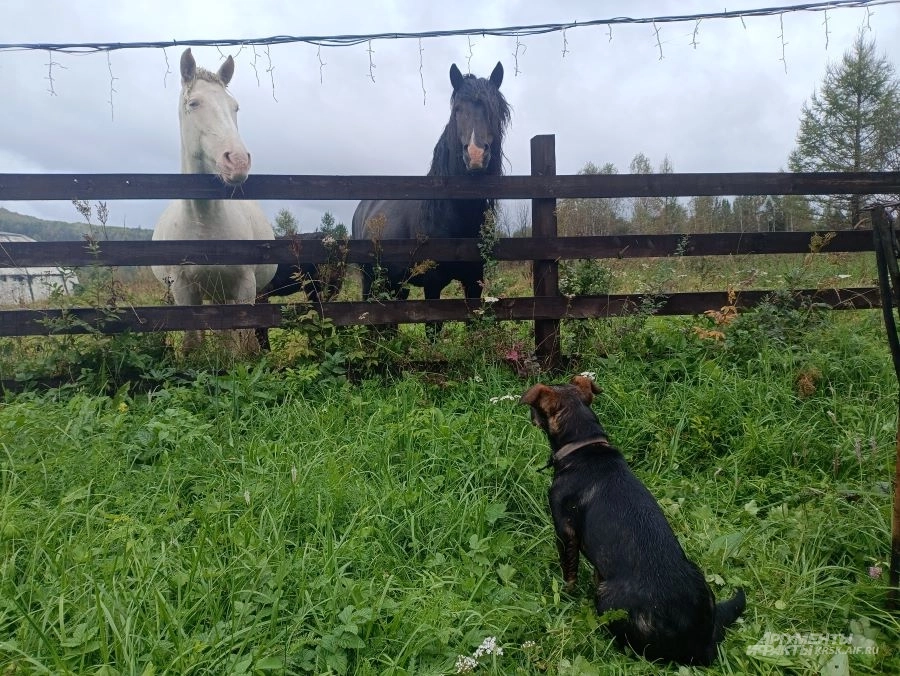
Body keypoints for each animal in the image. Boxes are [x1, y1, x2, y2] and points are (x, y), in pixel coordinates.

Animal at [152, 48, 276, 354]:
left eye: (235, 107)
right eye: (194, 103)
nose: (238, 161)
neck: (204, 224)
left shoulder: (244, 288)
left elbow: (241, 342)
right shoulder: (183, 290)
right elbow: (191, 341)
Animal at [351, 62, 510, 335]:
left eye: (495, 110)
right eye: (457, 110)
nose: (476, 155)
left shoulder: (474, 281)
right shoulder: (432, 285)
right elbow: (433, 331)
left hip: (396, 281)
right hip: (370, 277)